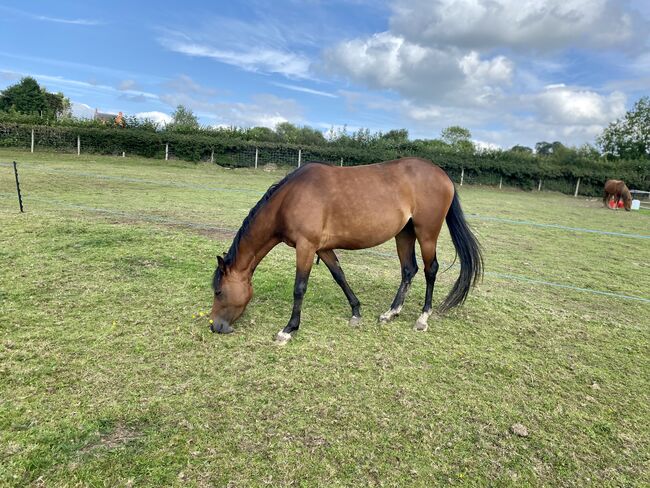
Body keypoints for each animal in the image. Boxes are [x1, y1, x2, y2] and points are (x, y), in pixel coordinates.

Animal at [209, 156, 480, 344]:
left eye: (219, 292)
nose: (215, 326)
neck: (289, 199)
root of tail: (442, 174)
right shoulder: (323, 249)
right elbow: (340, 276)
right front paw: (356, 312)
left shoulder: (306, 247)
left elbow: (299, 288)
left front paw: (289, 329)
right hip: (404, 233)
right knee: (408, 269)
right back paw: (391, 312)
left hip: (426, 233)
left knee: (430, 269)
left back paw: (422, 318)